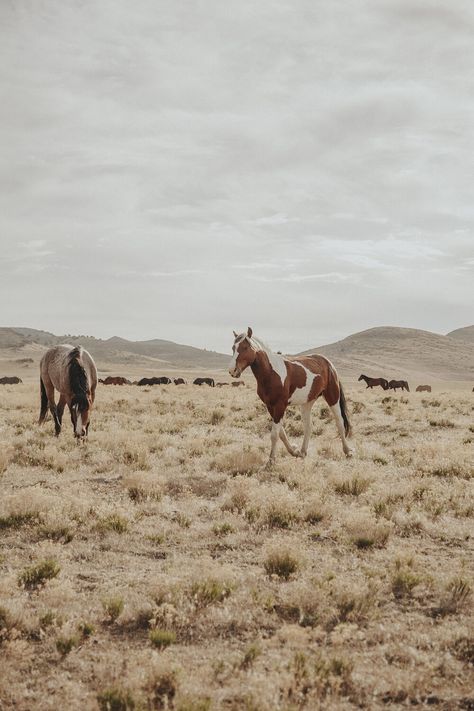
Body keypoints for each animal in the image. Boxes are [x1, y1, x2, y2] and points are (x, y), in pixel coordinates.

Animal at [230, 328, 352, 468]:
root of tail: (328, 363)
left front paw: (271, 461)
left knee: (340, 422)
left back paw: (347, 451)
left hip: (333, 397)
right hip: (307, 403)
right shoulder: (270, 406)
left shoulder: (280, 406)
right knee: (308, 426)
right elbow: (281, 433)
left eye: (245, 347)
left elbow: (274, 434)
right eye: (233, 347)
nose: (232, 370)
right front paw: (294, 452)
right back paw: (303, 452)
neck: (270, 372)